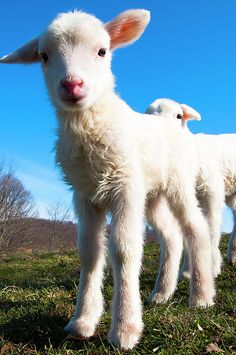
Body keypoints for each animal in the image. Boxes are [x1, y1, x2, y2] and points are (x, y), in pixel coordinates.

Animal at [0, 9, 216, 352]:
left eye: (102, 51)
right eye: (44, 56)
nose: (72, 84)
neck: (93, 124)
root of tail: (172, 124)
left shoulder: (124, 187)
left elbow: (124, 250)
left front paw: (125, 330)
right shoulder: (85, 195)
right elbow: (90, 251)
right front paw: (82, 323)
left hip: (178, 183)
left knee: (195, 229)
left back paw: (202, 296)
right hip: (151, 194)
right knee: (171, 237)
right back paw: (161, 294)